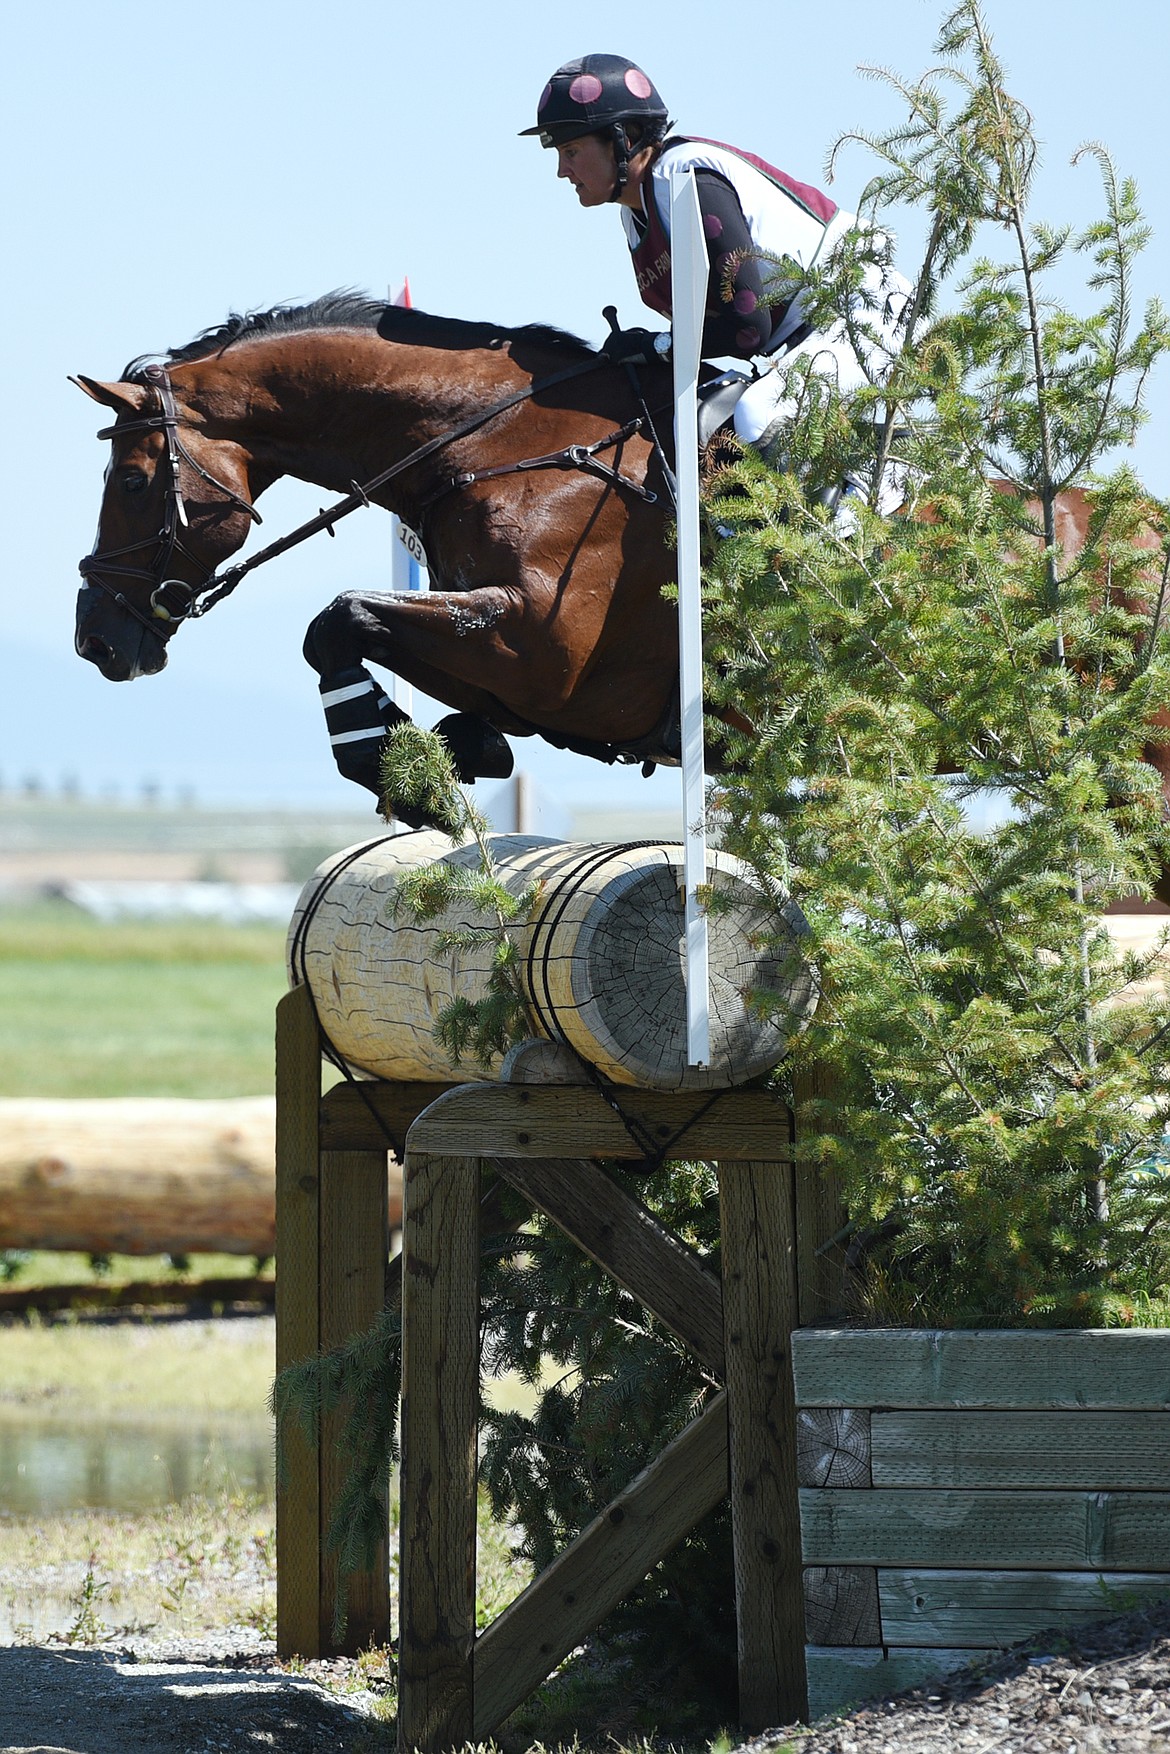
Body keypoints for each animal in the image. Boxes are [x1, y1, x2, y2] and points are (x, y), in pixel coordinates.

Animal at [73, 287, 726, 806]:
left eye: (131, 482)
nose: (94, 642)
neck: (502, 441)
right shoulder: (514, 674)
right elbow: (371, 649)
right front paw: (444, 752)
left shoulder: (543, 651)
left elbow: (337, 620)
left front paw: (395, 775)